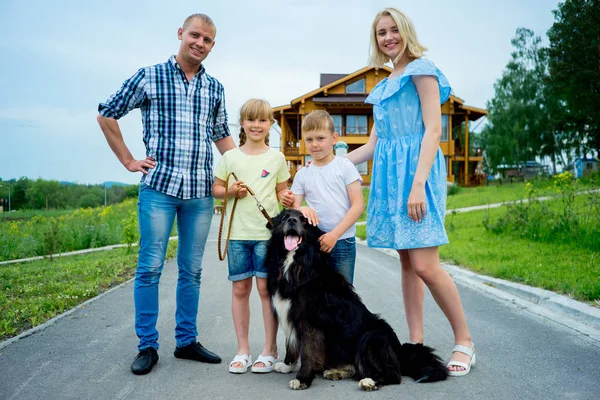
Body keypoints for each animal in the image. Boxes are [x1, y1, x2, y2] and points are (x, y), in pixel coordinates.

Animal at [266, 209, 446, 390]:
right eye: (284, 217)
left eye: (304, 220)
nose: (292, 220)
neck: (296, 263)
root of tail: (399, 351)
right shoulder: (287, 313)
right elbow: (291, 344)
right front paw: (287, 365)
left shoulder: (309, 319)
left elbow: (308, 351)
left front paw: (302, 379)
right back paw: (336, 371)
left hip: (370, 337)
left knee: (393, 374)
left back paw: (369, 381)